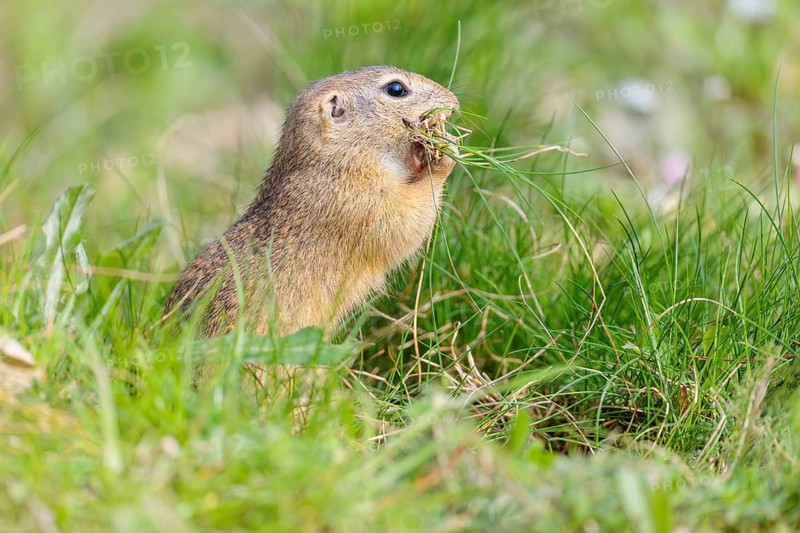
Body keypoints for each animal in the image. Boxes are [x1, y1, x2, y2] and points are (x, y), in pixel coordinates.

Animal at [164, 66, 460, 338]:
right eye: (396, 89)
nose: (454, 101)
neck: (333, 160)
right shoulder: (355, 201)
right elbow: (403, 225)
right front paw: (445, 151)